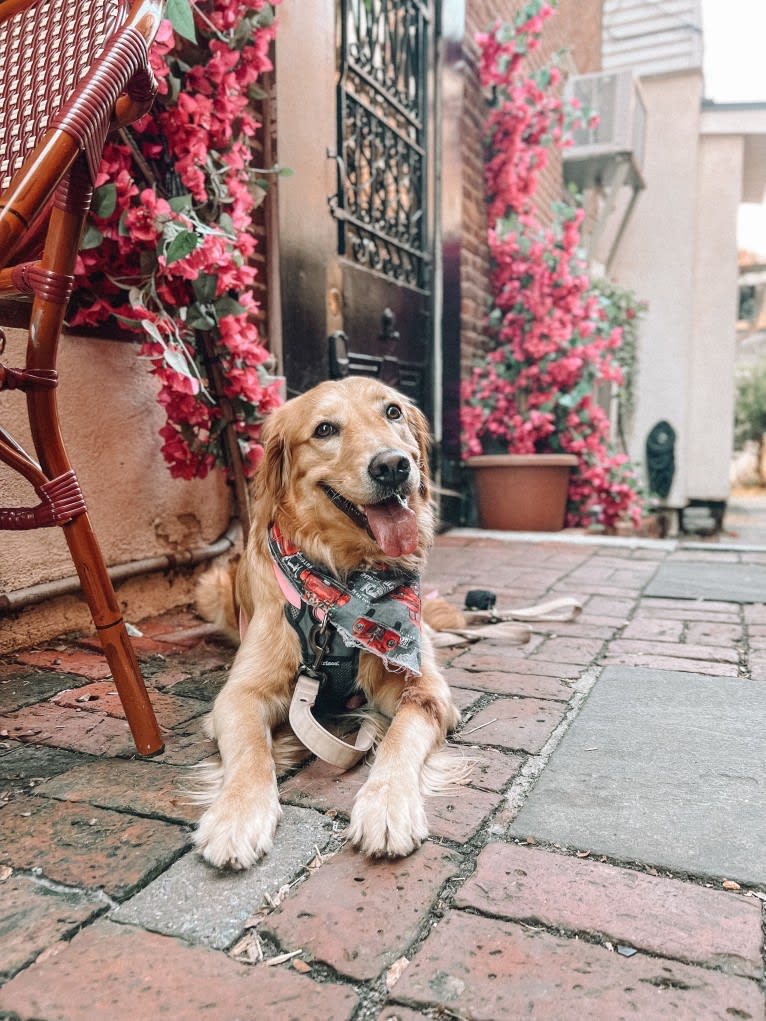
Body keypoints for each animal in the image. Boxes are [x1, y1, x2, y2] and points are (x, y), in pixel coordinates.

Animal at [196, 375, 461, 869]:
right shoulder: (240, 693)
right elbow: (251, 748)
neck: (344, 581)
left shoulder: (426, 688)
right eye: (324, 429)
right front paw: (237, 815)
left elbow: (400, 736)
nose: (393, 466)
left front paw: (386, 804)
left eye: (393, 412)